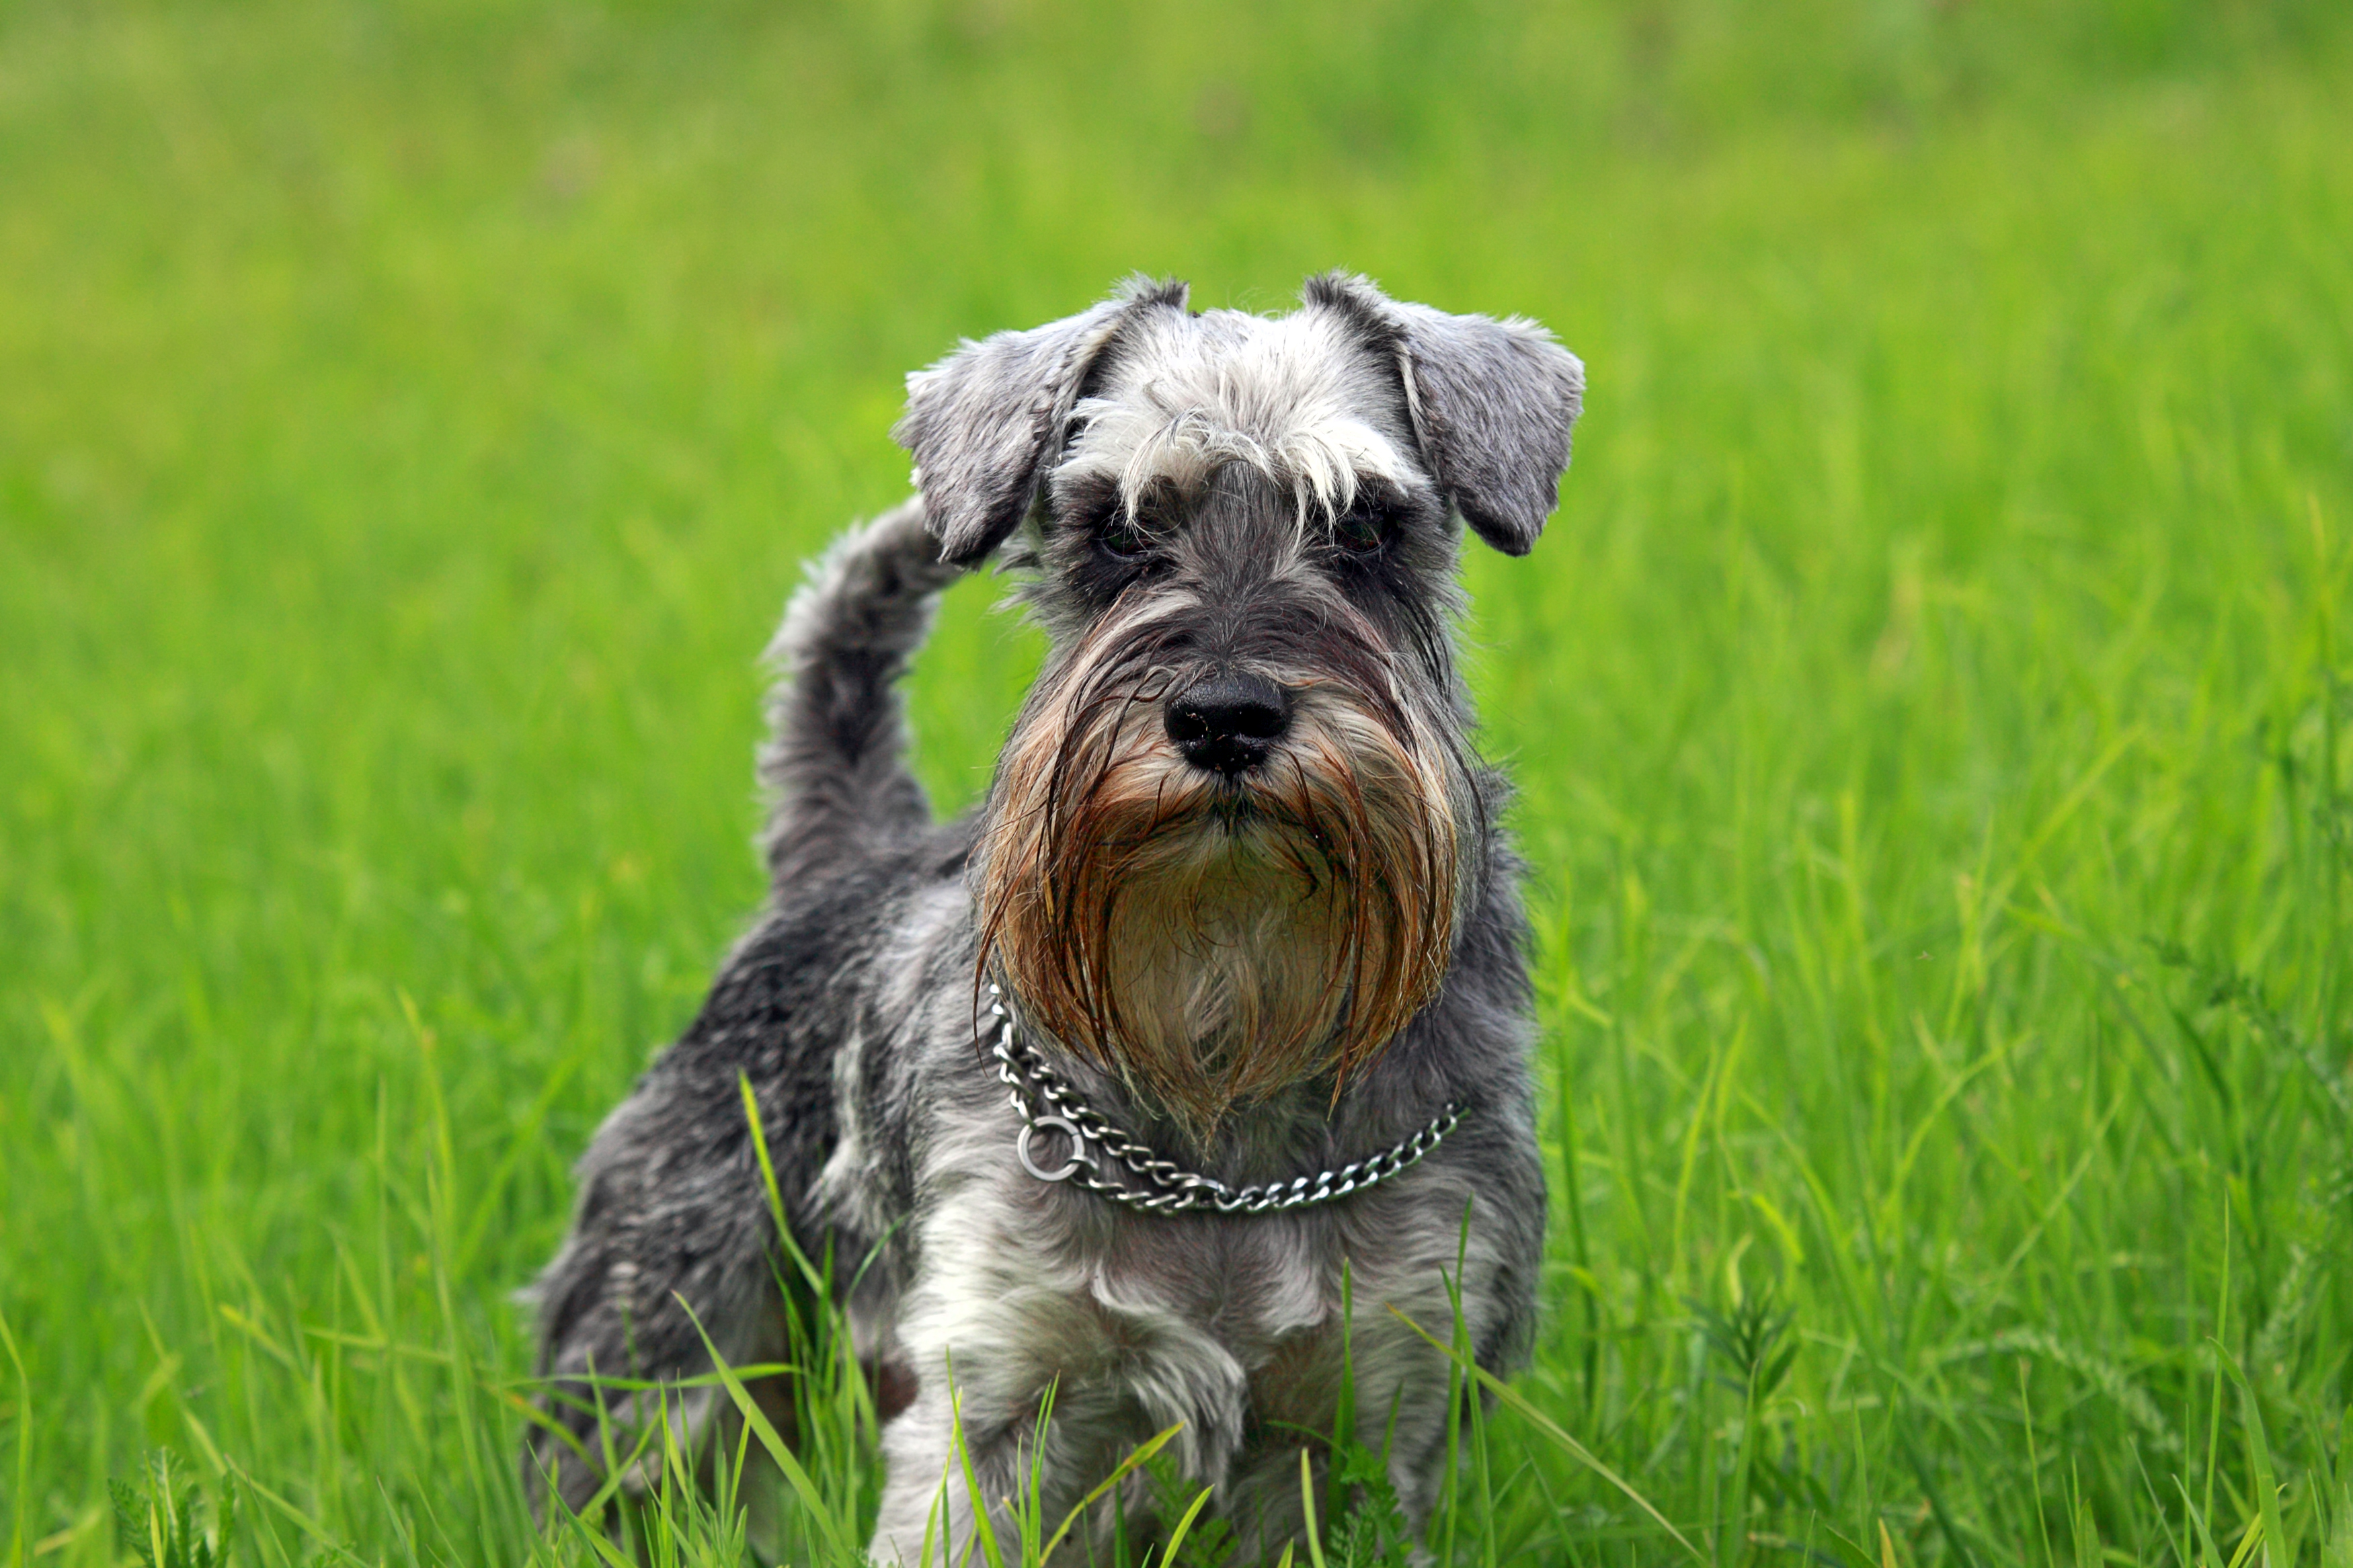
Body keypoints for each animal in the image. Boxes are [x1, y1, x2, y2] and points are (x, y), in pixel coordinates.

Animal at [527, 270, 1591, 1561]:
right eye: (1117, 530)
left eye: (1365, 524)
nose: (1224, 715)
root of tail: (844, 854)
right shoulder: (992, 1398)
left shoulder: (1376, 1414)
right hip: (656, 1357)